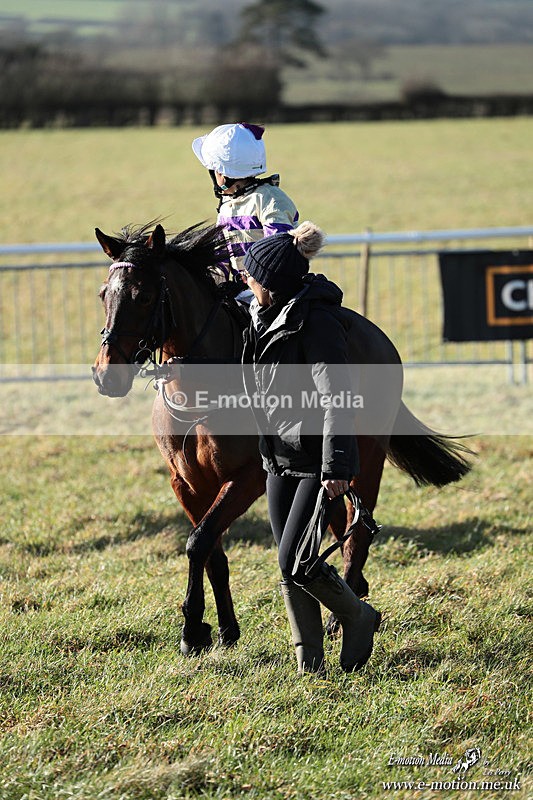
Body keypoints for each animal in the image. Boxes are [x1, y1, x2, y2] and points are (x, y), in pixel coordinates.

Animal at [92, 221, 472, 656]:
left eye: (143, 295)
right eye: (104, 294)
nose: (106, 375)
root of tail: (378, 337)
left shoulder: (248, 478)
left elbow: (198, 541)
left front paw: (192, 630)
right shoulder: (186, 483)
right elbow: (211, 552)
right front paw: (224, 629)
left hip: (365, 460)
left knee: (357, 532)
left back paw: (344, 619)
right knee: (335, 531)